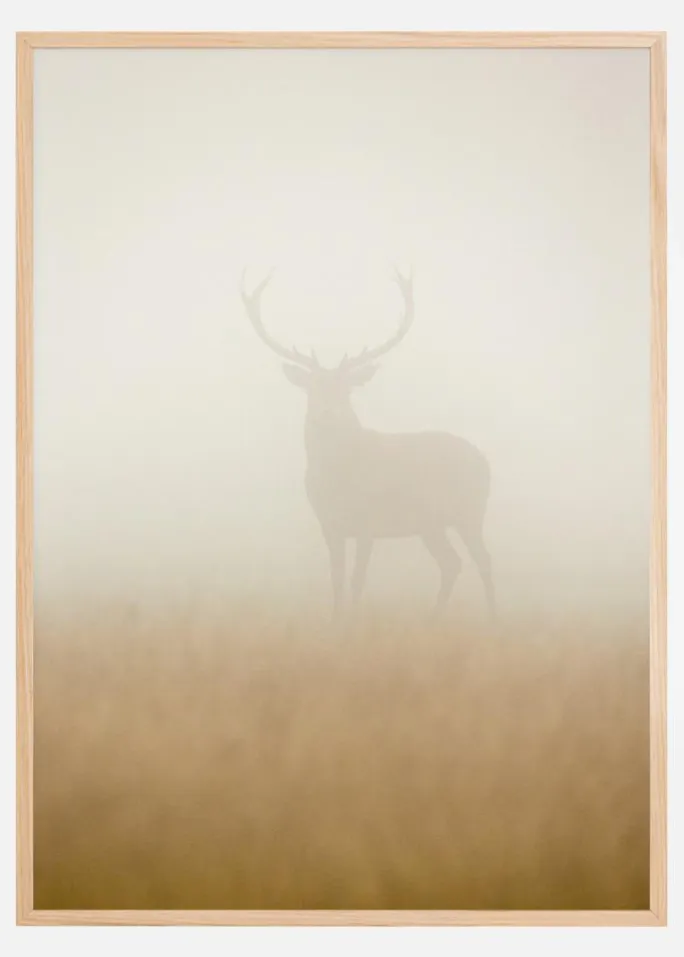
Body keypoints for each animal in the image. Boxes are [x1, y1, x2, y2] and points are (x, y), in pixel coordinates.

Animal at [240, 268, 495, 623]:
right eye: (312, 389)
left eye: (346, 389)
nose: (326, 414)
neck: (336, 479)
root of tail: (484, 461)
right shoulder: (329, 524)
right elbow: (336, 578)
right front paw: (336, 620)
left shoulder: (367, 521)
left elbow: (357, 578)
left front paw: (352, 623)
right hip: (430, 524)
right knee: (452, 563)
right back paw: (433, 619)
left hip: (470, 510)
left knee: (483, 560)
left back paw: (494, 618)